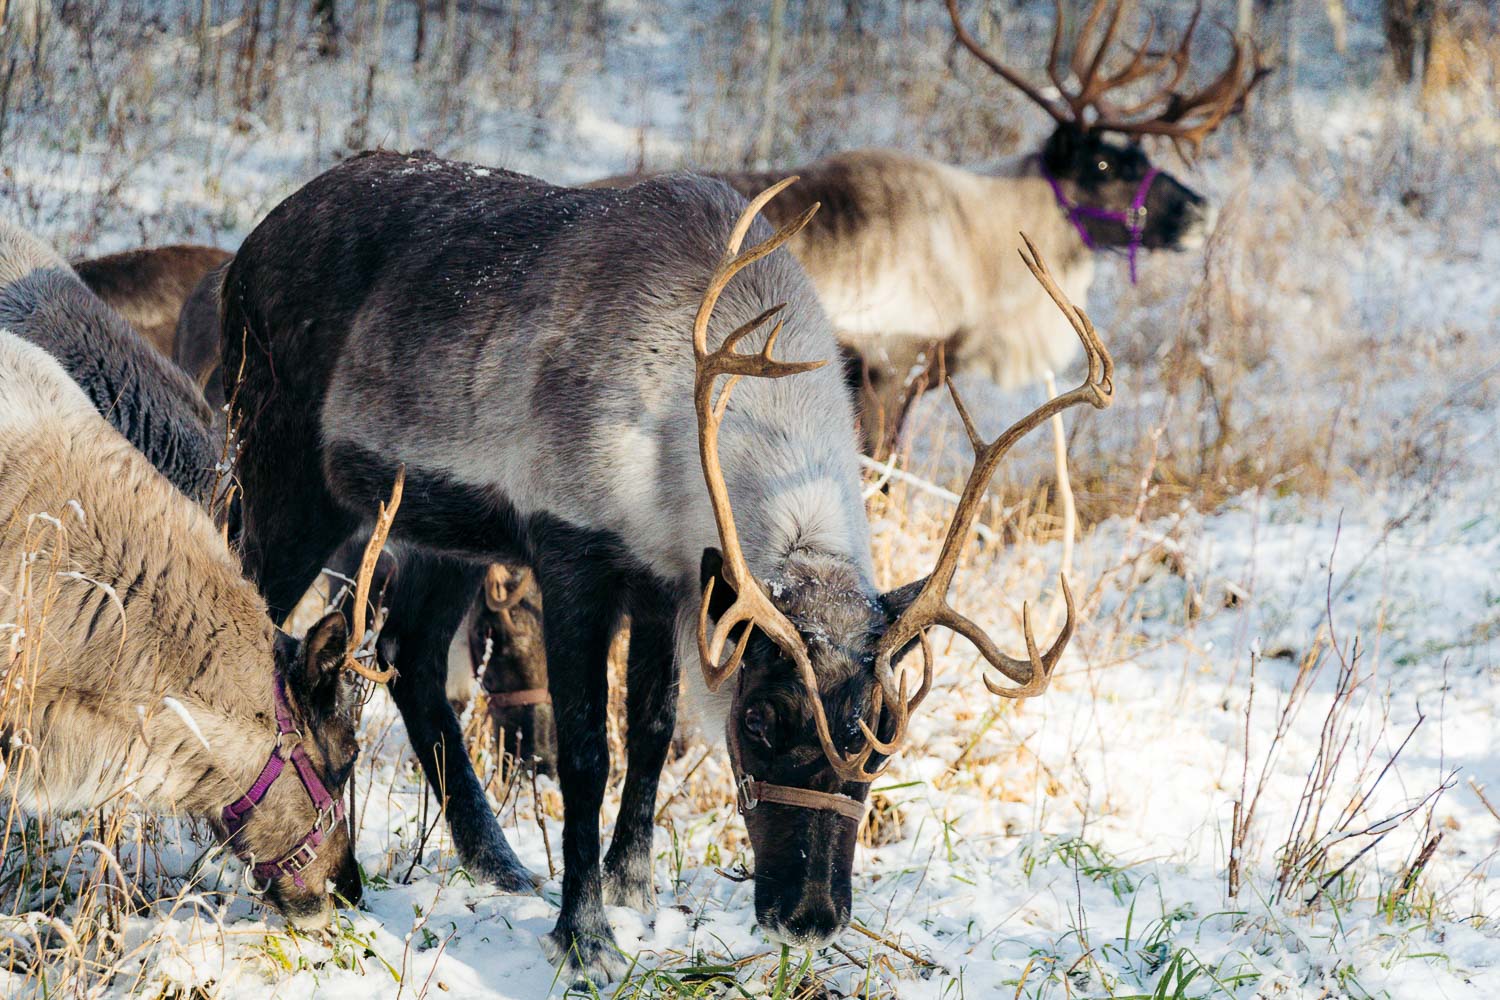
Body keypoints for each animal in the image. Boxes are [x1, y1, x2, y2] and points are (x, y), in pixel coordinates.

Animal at [219, 148, 1112, 984]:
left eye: (886, 735)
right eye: (759, 719)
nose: (812, 919)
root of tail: (250, 244)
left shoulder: (665, 580)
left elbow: (649, 731)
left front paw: (635, 894)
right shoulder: (571, 552)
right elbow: (589, 753)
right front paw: (585, 938)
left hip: (438, 528)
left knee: (411, 656)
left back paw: (499, 865)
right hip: (281, 462)